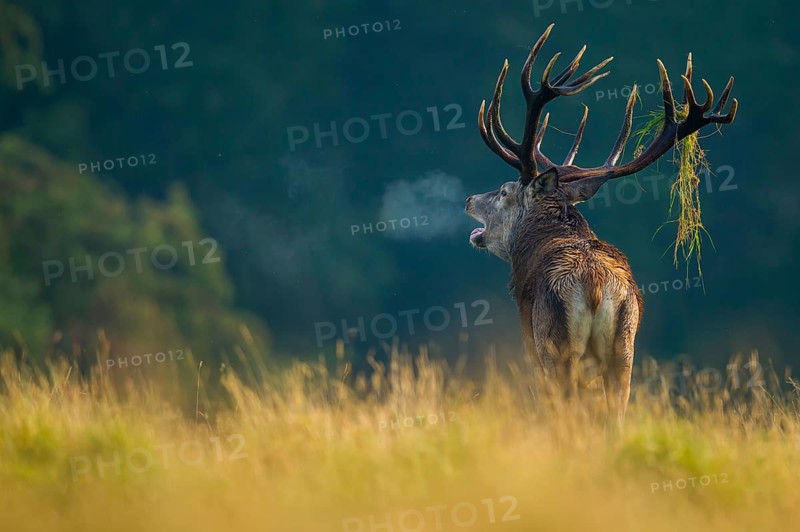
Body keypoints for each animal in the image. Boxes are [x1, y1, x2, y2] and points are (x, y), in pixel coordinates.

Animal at [465, 23, 737, 421]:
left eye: (503, 192)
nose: (469, 199)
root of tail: (594, 283)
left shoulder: (530, 338)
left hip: (556, 345)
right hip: (624, 348)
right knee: (616, 413)